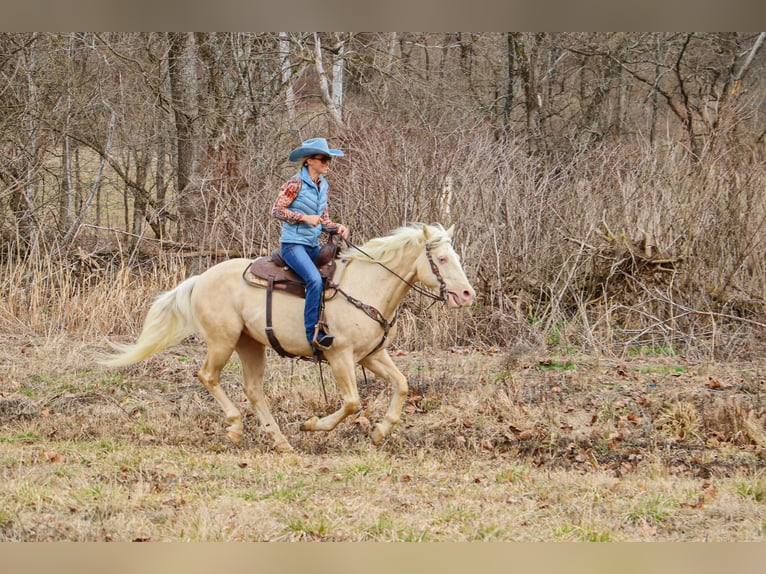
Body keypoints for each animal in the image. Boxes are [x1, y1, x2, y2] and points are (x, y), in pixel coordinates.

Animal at [100, 223, 474, 452]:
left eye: (456, 256)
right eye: (442, 258)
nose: (467, 294)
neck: (366, 288)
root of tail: (200, 279)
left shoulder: (372, 355)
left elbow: (402, 385)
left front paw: (381, 430)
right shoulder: (340, 356)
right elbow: (352, 402)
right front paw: (311, 425)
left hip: (250, 345)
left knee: (253, 389)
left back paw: (279, 440)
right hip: (223, 341)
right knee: (208, 376)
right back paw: (235, 428)